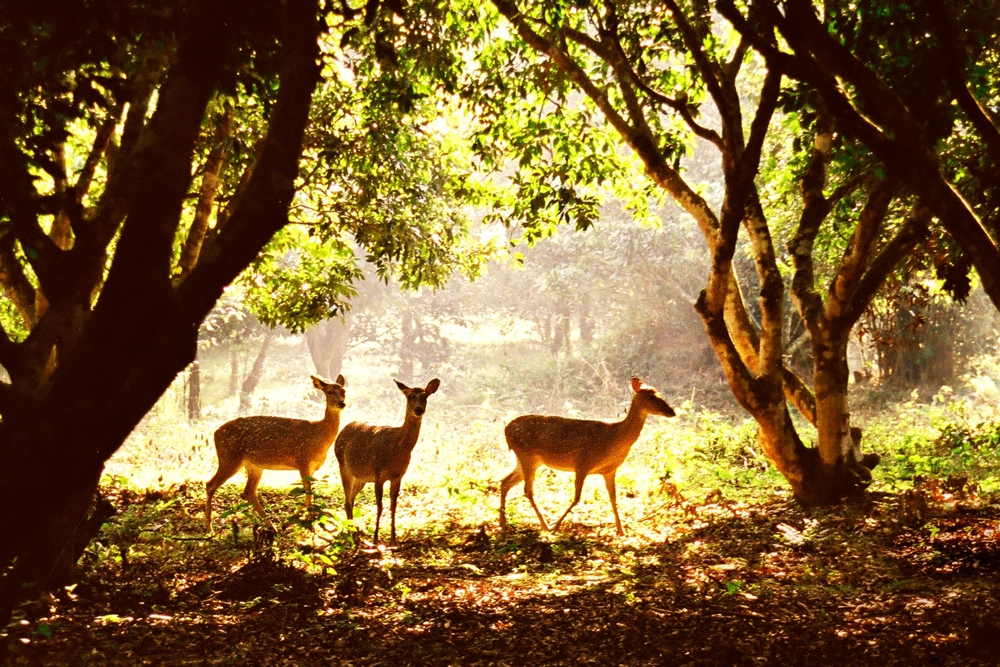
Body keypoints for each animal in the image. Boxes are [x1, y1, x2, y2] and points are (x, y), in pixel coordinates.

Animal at [202, 374, 344, 536]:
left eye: (344, 391)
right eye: (329, 392)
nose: (341, 403)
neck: (319, 435)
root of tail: (215, 433)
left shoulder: (312, 468)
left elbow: (311, 494)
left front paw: (308, 523)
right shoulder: (303, 461)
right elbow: (308, 495)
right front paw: (292, 523)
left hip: (254, 465)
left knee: (248, 491)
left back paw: (271, 526)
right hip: (229, 458)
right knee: (210, 484)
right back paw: (209, 528)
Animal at [336, 378, 442, 544]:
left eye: (425, 396)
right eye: (409, 396)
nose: (419, 409)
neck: (397, 448)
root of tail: (342, 430)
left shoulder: (398, 476)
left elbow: (393, 506)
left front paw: (393, 539)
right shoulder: (378, 474)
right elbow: (379, 507)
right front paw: (375, 539)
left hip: (361, 478)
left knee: (350, 500)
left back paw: (356, 534)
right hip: (343, 466)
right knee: (347, 501)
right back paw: (353, 537)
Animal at [498, 376, 676, 536]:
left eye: (660, 393)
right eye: (652, 397)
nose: (672, 412)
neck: (614, 438)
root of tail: (506, 429)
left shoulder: (609, 470)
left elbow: (613, 498)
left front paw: (621, 530)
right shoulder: (583, 463)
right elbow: (577, 498)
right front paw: (556, 526)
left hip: (528, 460)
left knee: (504, 482)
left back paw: (503, 523)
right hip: (526, 455)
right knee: (527, 490)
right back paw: (545, 526)